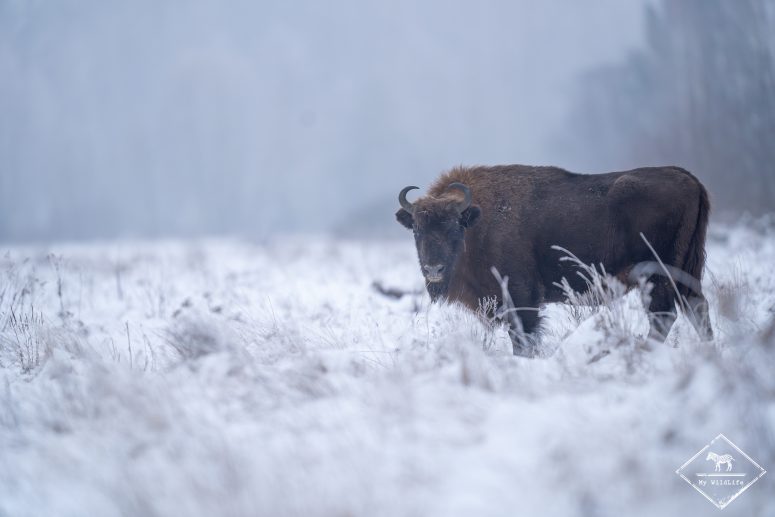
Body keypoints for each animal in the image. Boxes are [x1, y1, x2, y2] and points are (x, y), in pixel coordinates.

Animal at [396, 164, 713, 356]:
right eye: (417, 229)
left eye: (453, 227)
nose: (433, 269)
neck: (478, 221)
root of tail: (689, 179)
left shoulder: (522, 300)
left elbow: (522, 340)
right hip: (688, 271)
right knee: (696, 309)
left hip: (660, 275)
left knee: (663, 316)